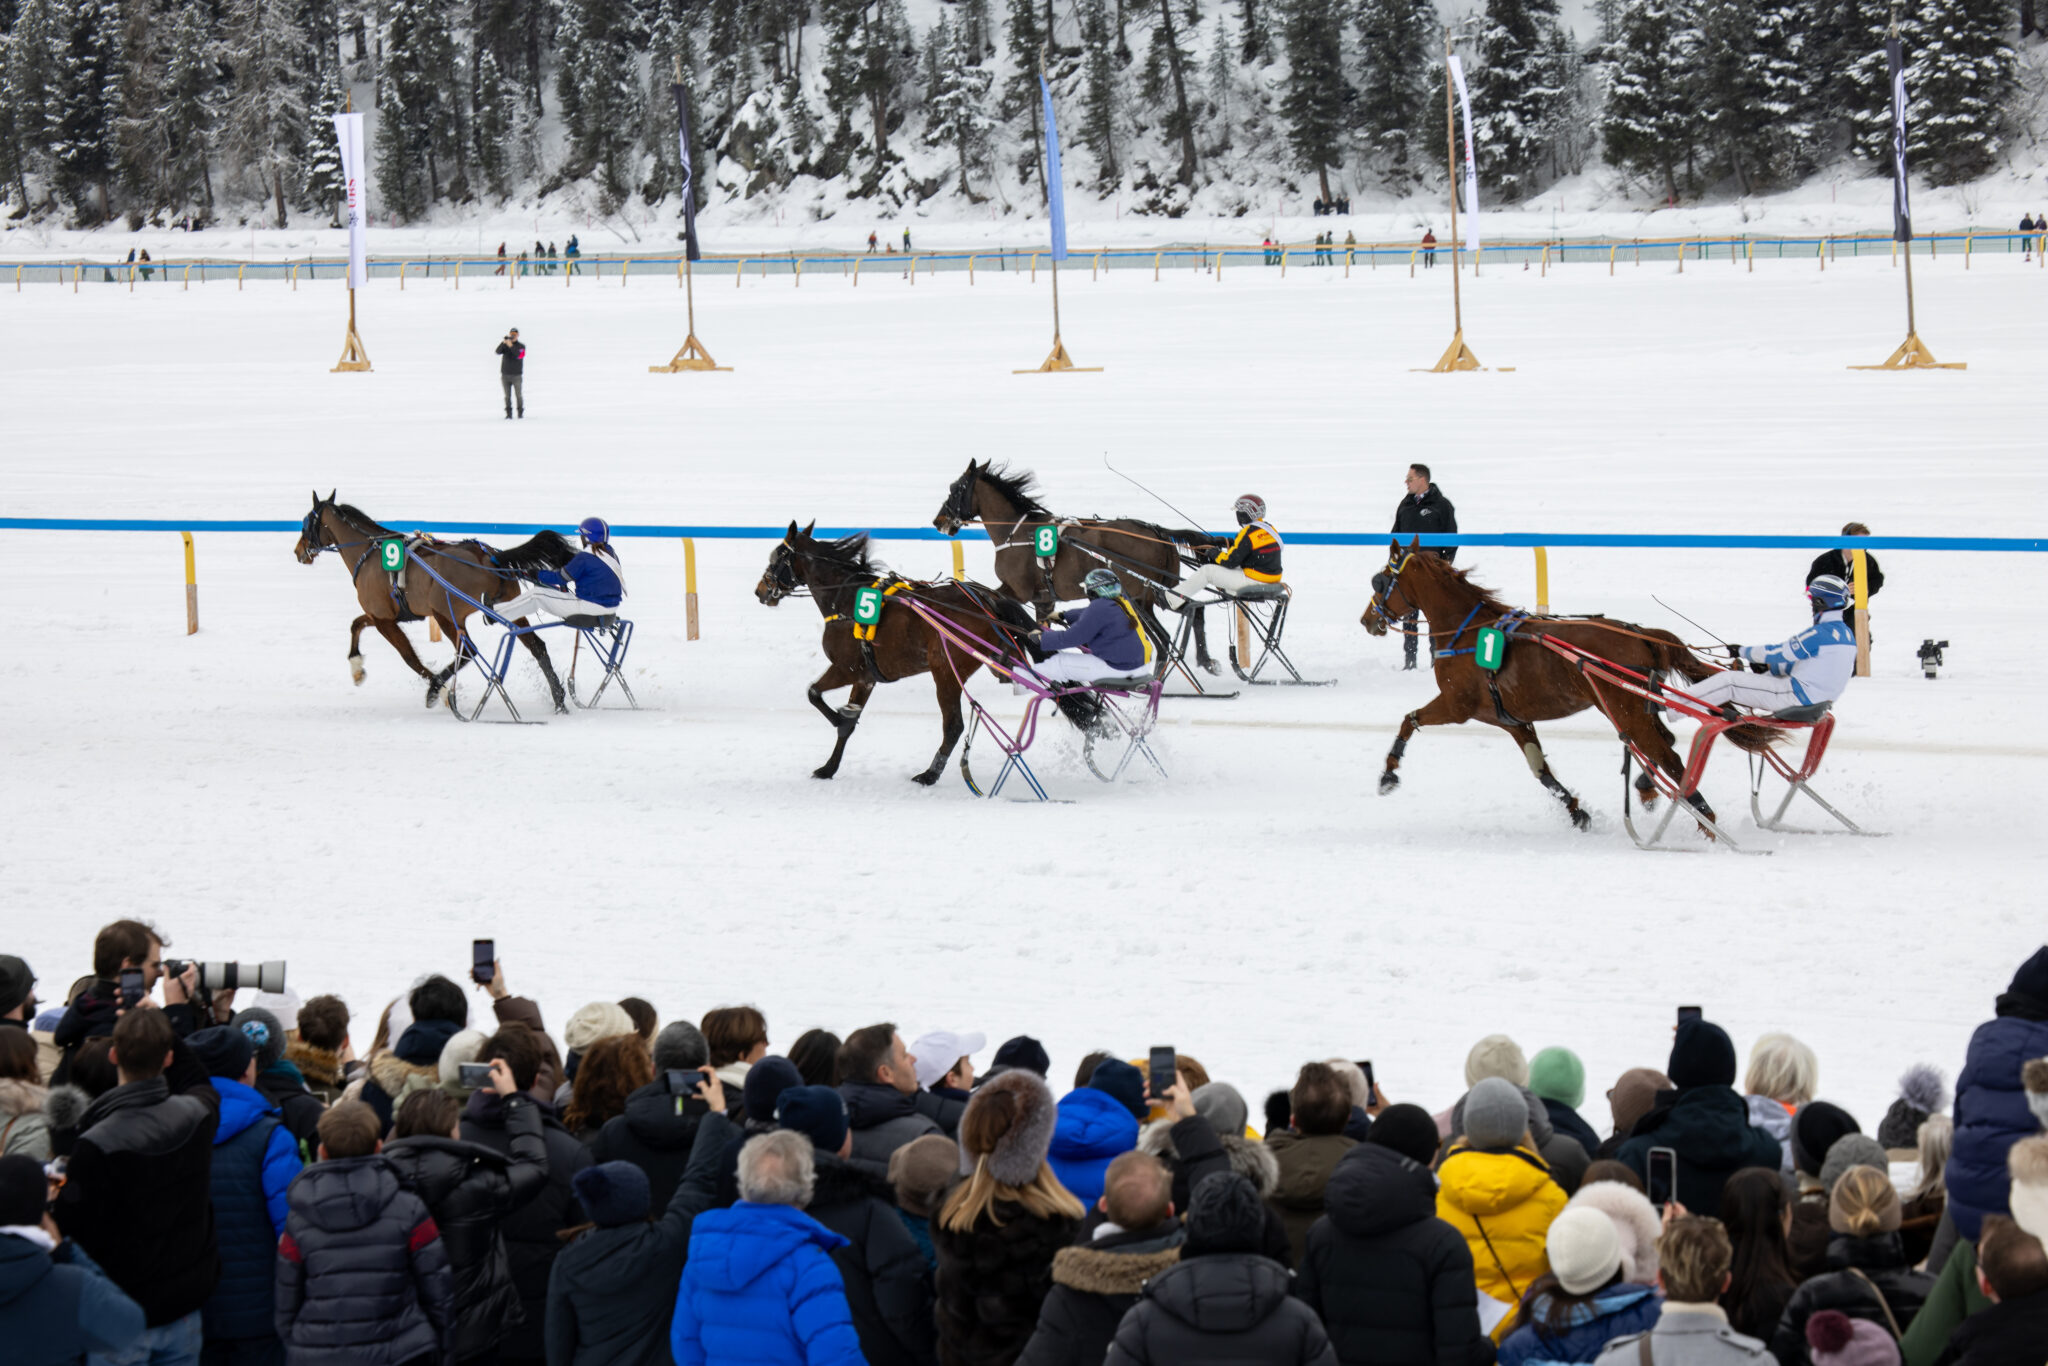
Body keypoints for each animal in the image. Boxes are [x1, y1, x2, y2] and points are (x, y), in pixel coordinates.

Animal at [290, 491, 569, 712]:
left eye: (306, 522)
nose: (298, 551)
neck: (370, 554)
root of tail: (490, 557)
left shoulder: (384, 620)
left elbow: (409, 658)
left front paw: (441, 691)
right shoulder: (383, 615)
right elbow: (356, 624)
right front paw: (356, 668)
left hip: (446, 614)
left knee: (468, 652)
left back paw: (435, 687)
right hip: (507, 608)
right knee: (537, 646)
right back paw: (559, 699)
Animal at [753, 520, 1040, 786]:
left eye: (776, 557)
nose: (760, 591)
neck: (846, 599)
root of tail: (987, 600)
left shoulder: (846, 668)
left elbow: (813, 693)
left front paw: (839, 718)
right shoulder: (865, 677)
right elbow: (844, 722)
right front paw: (829, 767)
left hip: (945, 671)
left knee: (953, 725)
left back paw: (929, 774)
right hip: (996, 661)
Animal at [937, 462, 1220, 671]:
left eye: (955, 488)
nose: (938, 521)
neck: (1016, 532)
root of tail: (1156, 532)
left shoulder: (1017, 590)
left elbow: (996, 603)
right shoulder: (1043, 599)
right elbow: (1038, 625)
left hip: (1138, 597)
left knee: (1164, 640)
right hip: (1156, 594)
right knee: (1195, 610)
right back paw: (1206, 660)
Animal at [1359, 540, 1761, 827]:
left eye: (1380, 580)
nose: (1367, 620)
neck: (1466, 631)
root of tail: (1641, 634)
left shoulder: (1456, 706)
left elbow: (1409, 719)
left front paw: (1388, 773)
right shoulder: (1511, 720)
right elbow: (1542, 771)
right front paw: (1576, 811)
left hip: (1623, 708)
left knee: (1667, 754)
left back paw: (1704, 818)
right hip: (1636, 706)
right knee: (1665, 742)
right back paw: (1649, 790)